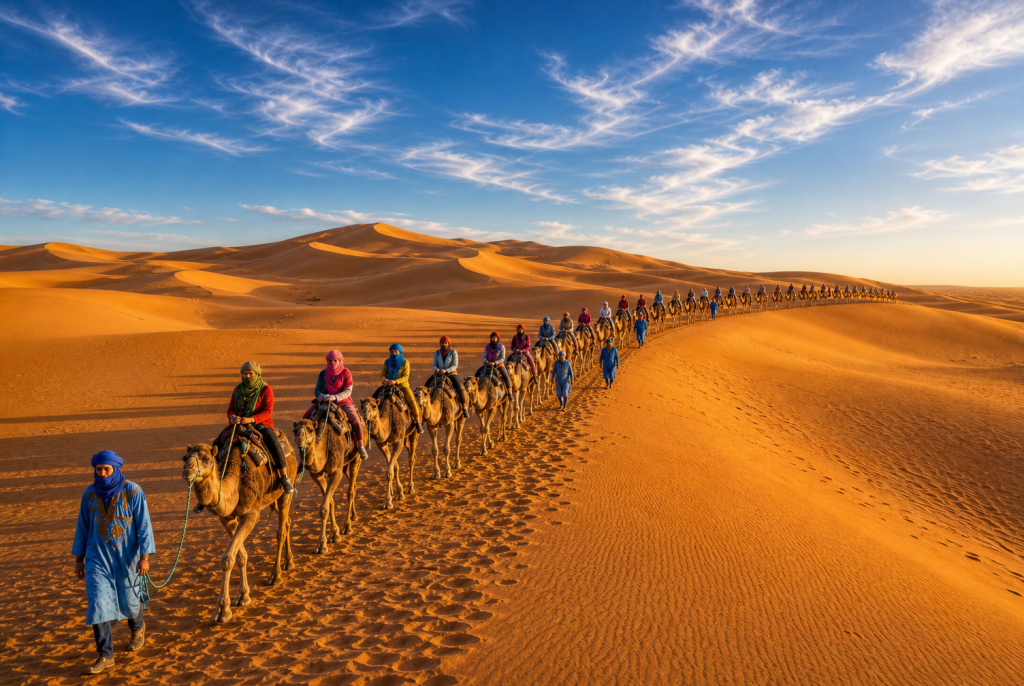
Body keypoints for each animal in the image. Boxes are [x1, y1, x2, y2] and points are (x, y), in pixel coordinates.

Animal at [181, 429, 296, 624]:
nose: (187, 470)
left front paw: (222, 610)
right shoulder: (227, 518)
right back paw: (288, 562)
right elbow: (240, 555)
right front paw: (243, 596)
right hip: (273, 498)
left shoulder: (251, 513)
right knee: (287, 522)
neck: (236, 482)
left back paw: (275, 576)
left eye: (206, 458)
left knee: (281, 530)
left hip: (285, 491)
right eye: (184, 458)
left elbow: (228, 558)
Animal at [293, 405, 361, 549]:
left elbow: (324, 507)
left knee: (350, 491)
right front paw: (334, 535)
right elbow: (329, 502)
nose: (299, 437)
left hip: (355, 458)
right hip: (345, 464)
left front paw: (322, 544)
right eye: (294, 430)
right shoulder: (316, 474)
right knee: (354, 485)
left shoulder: (336, 472)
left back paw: (347, 527)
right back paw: (354, 516)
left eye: (310, 429)